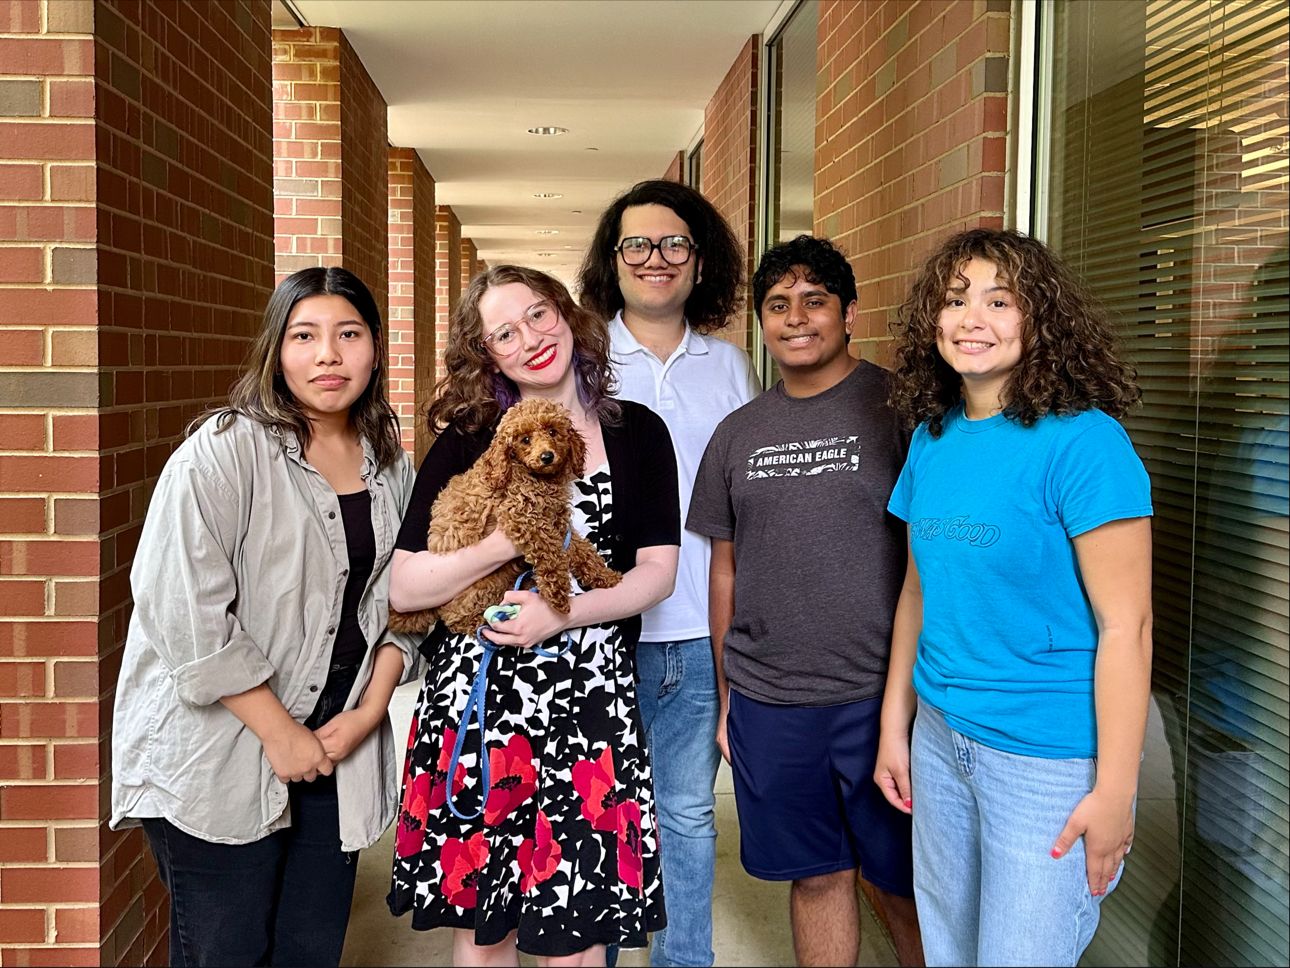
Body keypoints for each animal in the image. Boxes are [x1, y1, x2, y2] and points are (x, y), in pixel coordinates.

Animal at [384, 397, 621, 640]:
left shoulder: (557, 524)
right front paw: (558, 596)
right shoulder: (525, 520)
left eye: (553, 432)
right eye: (525, 440)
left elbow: (581, 550)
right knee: (456, 619)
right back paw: (484, 624)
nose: (547, 457)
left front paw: (606, 576)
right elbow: (551, 556)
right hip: (482, 585)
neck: (534, 476)